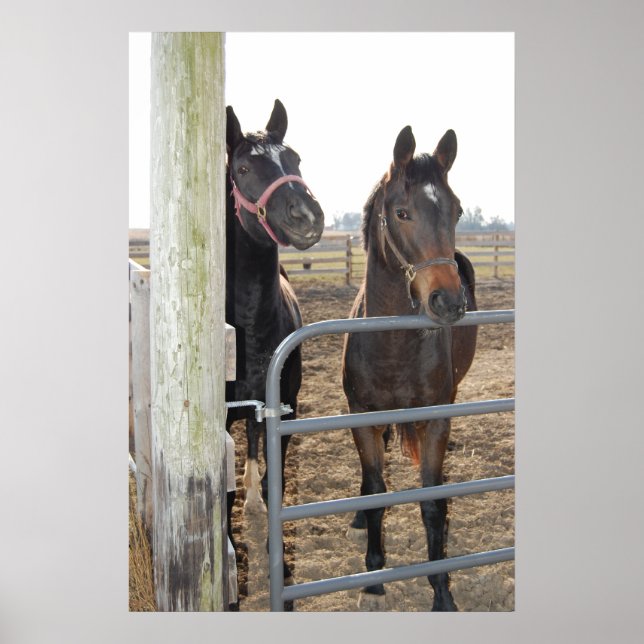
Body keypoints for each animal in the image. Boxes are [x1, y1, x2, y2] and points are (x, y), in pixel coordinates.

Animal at [341, 125, 477, 611]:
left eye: (457, 211)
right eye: (402, 213)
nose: (449, 301)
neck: (392, 342)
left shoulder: (434, 419)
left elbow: (433, 502)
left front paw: (441, 591)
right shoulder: (363, 417)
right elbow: (376, 491)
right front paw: (374, 575)